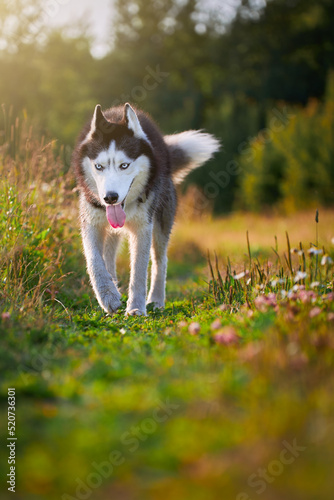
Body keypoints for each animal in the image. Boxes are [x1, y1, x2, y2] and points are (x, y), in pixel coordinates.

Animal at [73, 104, 219, 316]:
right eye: (99, 166)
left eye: (124, 165)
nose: (110, 198)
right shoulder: (91, 222)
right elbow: (94, 261)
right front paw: (108, 295)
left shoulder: (143, 227)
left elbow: (139, 271)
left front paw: (136, 307)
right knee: (108, 256)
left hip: (160, 223)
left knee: (160, 261)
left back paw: (156, 300)